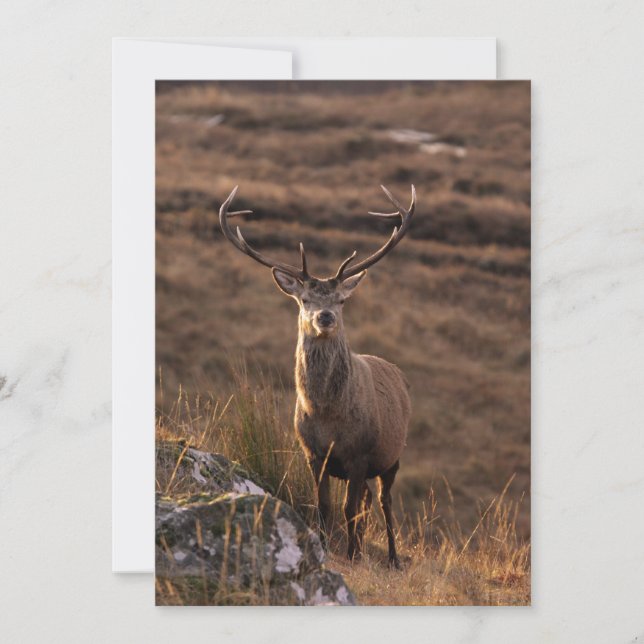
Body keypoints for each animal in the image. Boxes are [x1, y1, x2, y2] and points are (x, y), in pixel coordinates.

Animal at [218, 184, 415, 568]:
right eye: (305, 299)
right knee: (368, 500)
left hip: (392, 455)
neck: (327, 415)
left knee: (384, 503)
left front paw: (352, 555)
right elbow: (324, 506)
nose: (325, 316)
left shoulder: (360, 453)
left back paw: (392, 558)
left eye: (342, 300)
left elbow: (348, 508)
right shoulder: (314, 453)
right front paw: (325, 546)